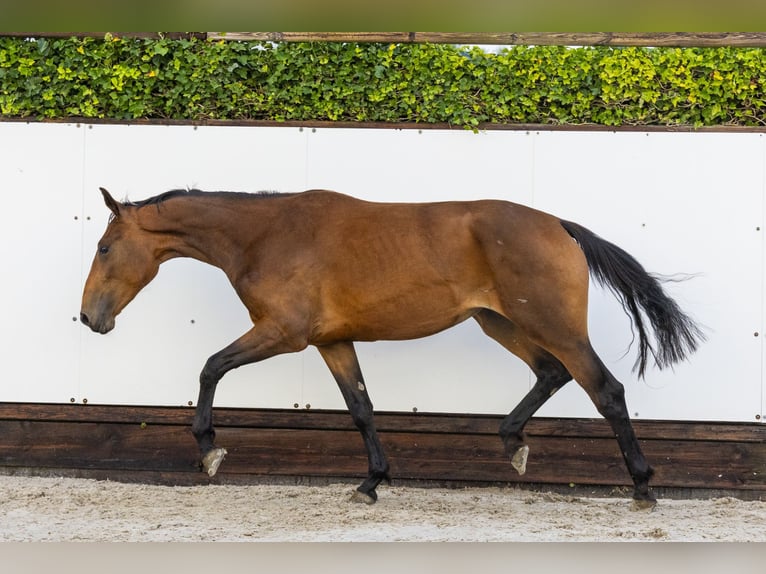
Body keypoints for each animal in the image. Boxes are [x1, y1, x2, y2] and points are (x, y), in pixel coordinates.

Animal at [80, 187, 704, 508]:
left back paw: (643, 487)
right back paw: (513, 443)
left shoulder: (284, 333)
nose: (89, 317)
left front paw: (209, 450)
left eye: (105, 247)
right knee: (552, 374)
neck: (265, 235)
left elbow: (210, 367)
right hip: (497, 322)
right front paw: (372, 482)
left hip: (551, 325)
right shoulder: (332, 341)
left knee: (605, 389)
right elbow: (361, 407)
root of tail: (559, 225)